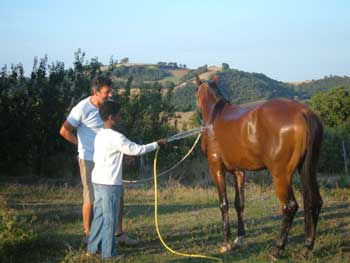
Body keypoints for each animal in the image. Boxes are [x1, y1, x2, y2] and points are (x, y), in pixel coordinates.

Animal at [194, 75, 322, 260]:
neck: (214, 117)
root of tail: (303, 113)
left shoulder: (216, 168)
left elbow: (223, 203)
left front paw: (226, 243)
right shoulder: (239, 171)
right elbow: (239, 203)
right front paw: (239, 238)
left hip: (281, 175)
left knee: (290, 207)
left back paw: (277, 249)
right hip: (309, 169)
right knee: (315, 202)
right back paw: (305, 248)